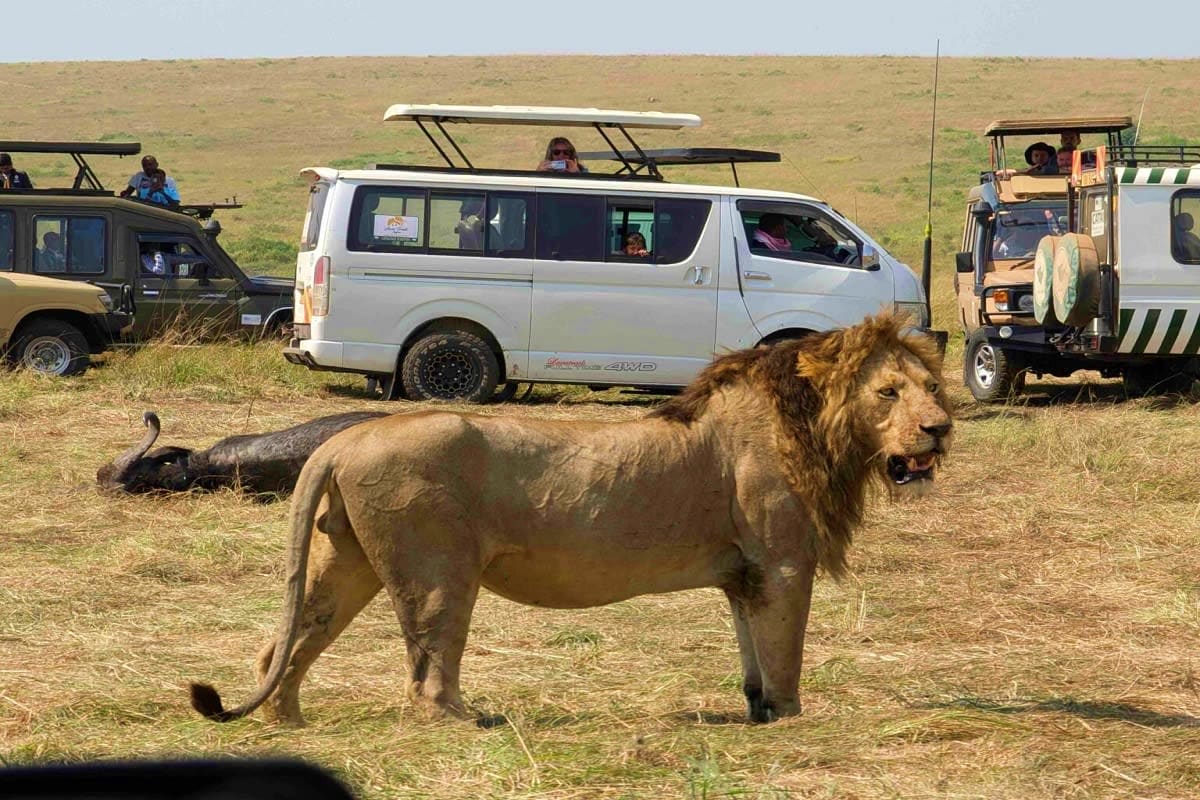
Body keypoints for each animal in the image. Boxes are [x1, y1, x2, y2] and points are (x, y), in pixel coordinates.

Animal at [189, 313, 952, 726]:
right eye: (888, 392)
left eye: (932, 388)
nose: (940, 429)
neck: (818, 432)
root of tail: (342, 440)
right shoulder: (784, 563)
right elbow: (785, 652)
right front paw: (791, 721)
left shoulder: (745, 575)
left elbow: (754, 658)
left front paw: (759, 711)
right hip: (437, 569)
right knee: (428, 671)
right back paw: (470, 722)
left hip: (346, 558)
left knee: (289, 641)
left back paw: (288, 720)